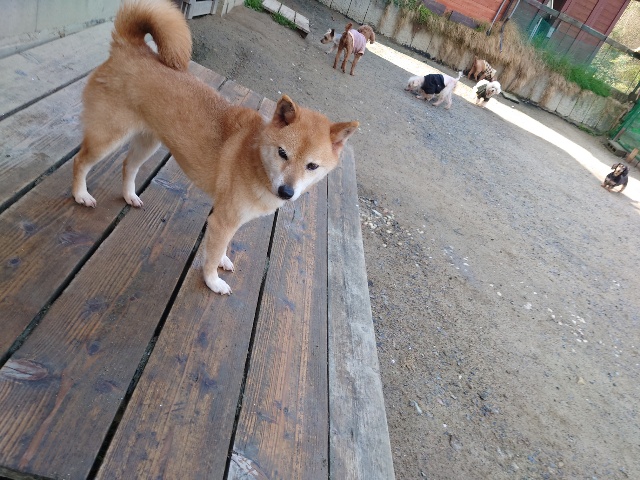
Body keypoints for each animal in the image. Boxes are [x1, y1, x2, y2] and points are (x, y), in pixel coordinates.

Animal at [71, 0, 359, 295]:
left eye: (312, 166)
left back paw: (130, 196)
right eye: (282, 153)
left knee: (128, 165)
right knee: (80, 161)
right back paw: (81, 195)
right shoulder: (223, 220)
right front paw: (213, 282)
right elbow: (210, 258)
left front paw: (222, 260)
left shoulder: (230, 219)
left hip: (147, 141)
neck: (254, 157)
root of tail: (129, 46)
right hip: (108, 136)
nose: (286, 192)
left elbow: (220, 248)